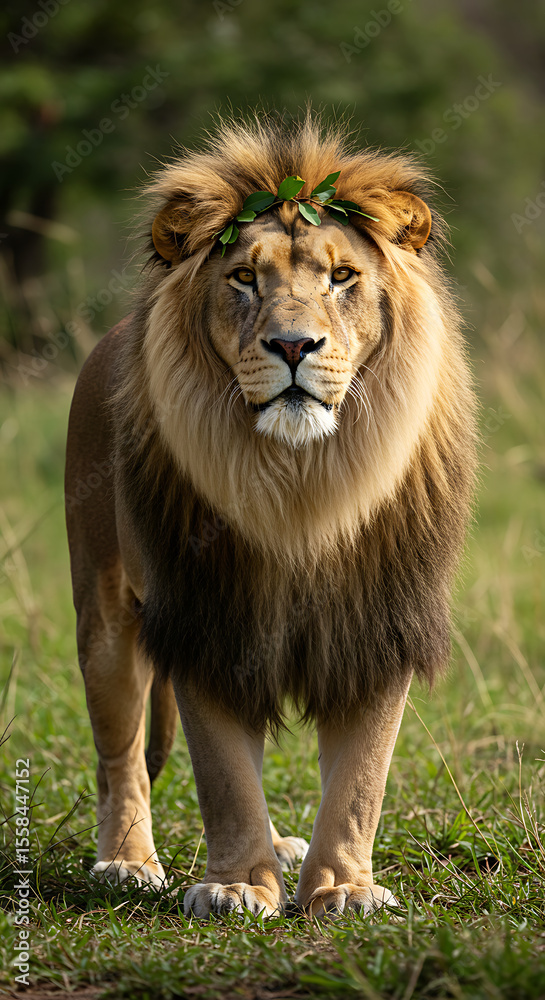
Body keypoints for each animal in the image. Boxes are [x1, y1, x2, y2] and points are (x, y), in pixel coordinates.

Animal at [65, 113, 476, 919]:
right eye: (243, 278)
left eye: (341, 278)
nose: (292, 345)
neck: (303, 482)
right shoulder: (206, 615)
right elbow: (225, 775)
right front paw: (236, 885)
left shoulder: (376, 621)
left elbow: (359, 779)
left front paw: (342, 887)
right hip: (105, 613)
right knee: (120, 756)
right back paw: (127, 862)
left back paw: (287, 846)